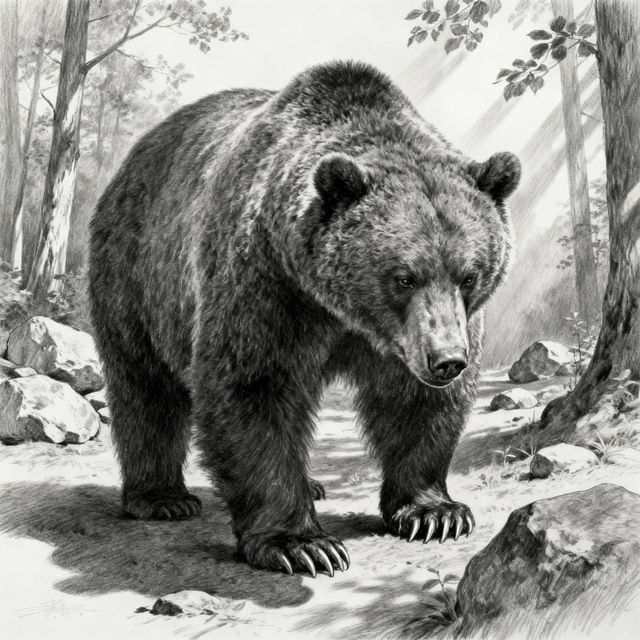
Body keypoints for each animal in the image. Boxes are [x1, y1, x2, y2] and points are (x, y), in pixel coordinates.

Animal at [88, 60, 520, 577]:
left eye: (469, 275)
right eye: (403, 277)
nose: (447, 359)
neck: (344, 310)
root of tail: (134, 156)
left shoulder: (416, 335)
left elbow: (416, 403)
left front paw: (434, 512)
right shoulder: (268, 285)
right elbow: (253, 388)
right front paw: (301, 543)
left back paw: (311, 482)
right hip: (138, 274)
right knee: (144, 385)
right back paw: (162, 497)